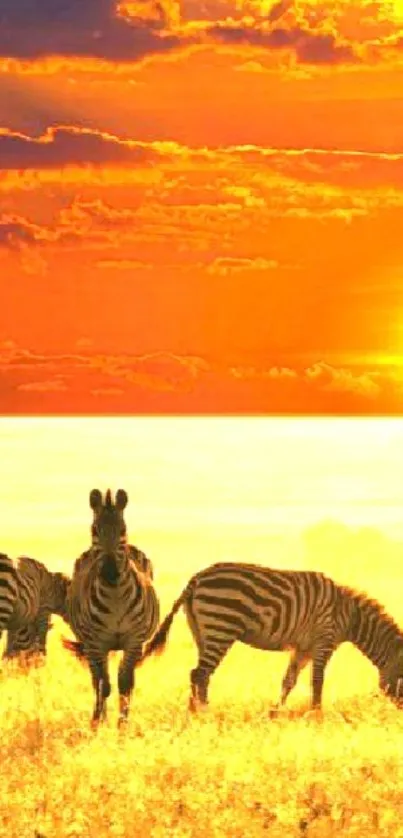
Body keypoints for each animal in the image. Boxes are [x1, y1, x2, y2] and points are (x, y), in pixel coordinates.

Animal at [62, 488, 159, 732]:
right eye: (94, 530)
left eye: (122, 530)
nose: (110, 572)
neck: (116, 596)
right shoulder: (97, 643)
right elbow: (104, 685)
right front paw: (99, 724)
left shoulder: (134, 641)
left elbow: (124, 684)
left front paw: (123, 726)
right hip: (90, 645)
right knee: (96, 679)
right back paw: (98, 717)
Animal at [138, 564, 403, 716]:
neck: (350, 616)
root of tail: (197, 578)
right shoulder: (324, 641)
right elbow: (317, 681)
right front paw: (317, 714)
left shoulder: (303, 648)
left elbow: (289, 681)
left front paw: (276, 711)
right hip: (221, 626)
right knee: (200, 674)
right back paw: (203, 714)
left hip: (202, 631)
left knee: (201, 675)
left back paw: (196, 712)